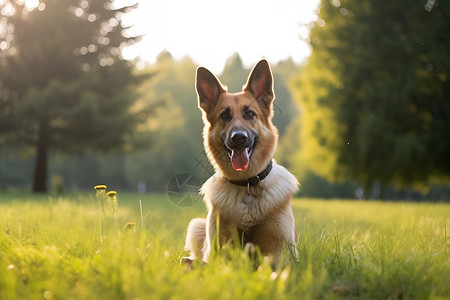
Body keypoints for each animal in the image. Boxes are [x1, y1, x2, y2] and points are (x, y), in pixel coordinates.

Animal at [183, 59, 298, 270]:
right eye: (224, 116)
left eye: (250, 114)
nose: (239, 138)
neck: (247, 185)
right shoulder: (219, 250)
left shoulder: (282, 252)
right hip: (196, 225)